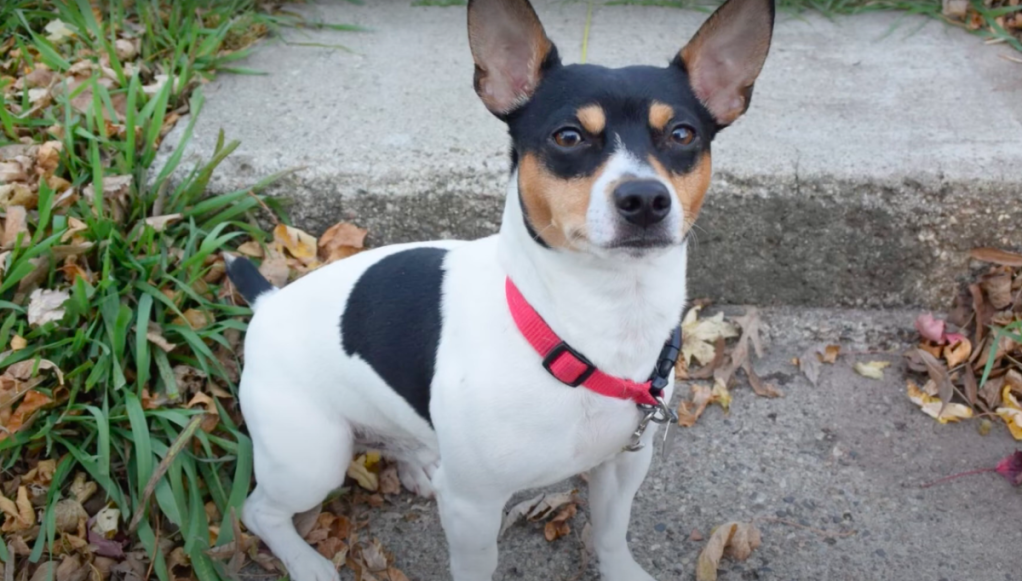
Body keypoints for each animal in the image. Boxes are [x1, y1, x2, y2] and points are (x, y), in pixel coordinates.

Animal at [225, 0, 772, 576]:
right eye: (568, 136)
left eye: (683, 134)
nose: (645, 197)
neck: (592, 324)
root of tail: (268, 302)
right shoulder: (473, 507)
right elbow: (476, 564)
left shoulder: (623, 465)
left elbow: (610, 533)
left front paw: (621, 570)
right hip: (311, 461)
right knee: (259, 510)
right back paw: (305, 560)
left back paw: (417, 465)